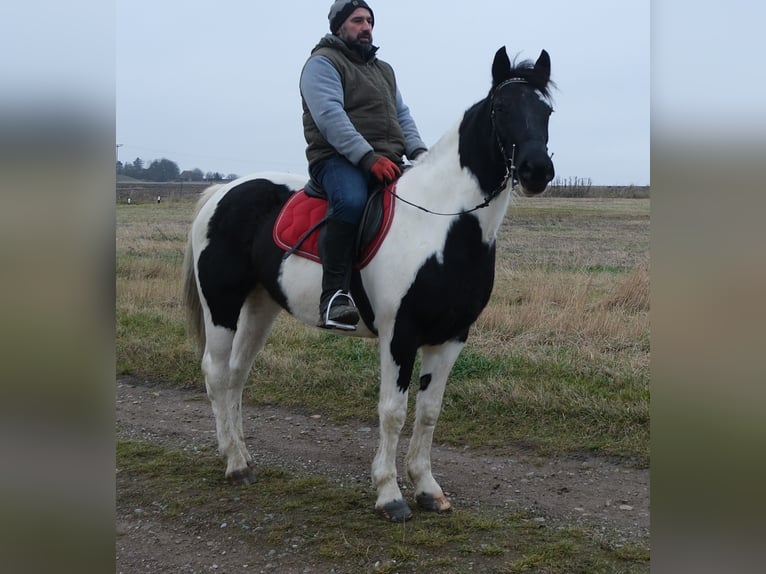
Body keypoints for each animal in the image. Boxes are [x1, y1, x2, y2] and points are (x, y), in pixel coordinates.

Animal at [182, 46, 555, 522]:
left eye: (546, 111)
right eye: (502, 107)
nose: (537, 170)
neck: (443, 223)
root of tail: (221, 192)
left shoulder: (453, 335)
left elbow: (429, 412)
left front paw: (428, 489)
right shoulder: (400, 333)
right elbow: (393, 411)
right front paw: (389, 494)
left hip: (261, 306)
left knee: (235, 375)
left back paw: (244, 458)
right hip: (222, 304)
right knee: (215, 373)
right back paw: (233, 463)